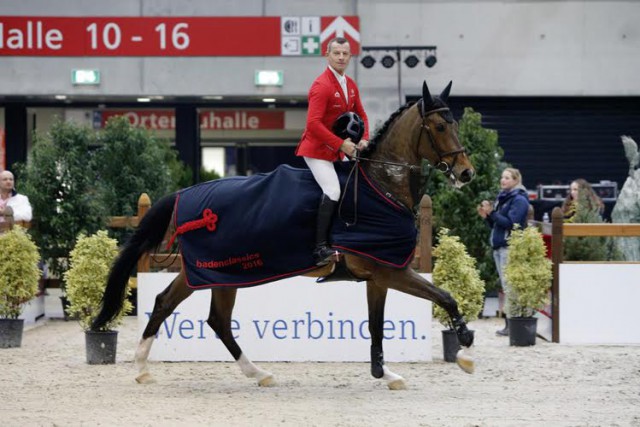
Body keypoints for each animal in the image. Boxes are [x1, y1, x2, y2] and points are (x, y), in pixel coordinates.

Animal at [92, 80, 478, 392]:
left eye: (456, 124)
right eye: (440, 126)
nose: (466, 173)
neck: (382, 186)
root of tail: (183, 194)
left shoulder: (378, 275)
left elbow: (377, 326)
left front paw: (386, 374)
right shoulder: (392, 271)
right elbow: (445, 298)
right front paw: (465, 347)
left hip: (217, 273)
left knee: (204, 316)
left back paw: (247, 373)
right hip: (209, 270)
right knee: (180, 308)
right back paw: (149, 368)